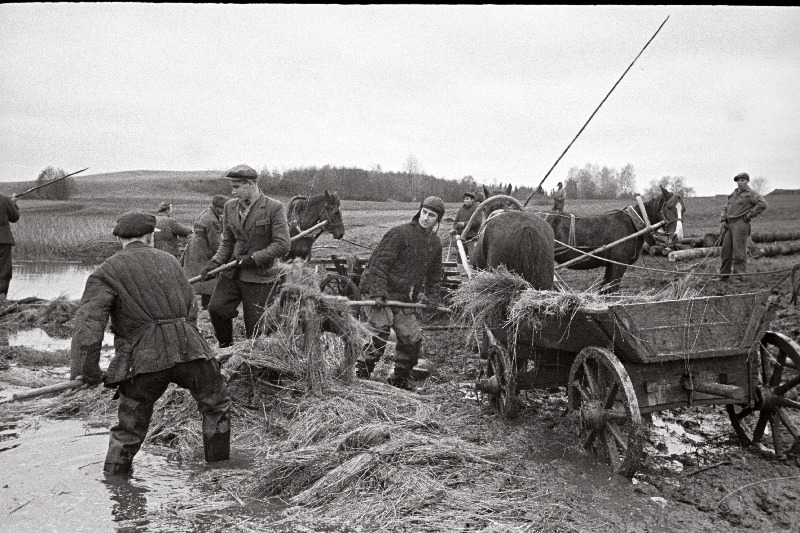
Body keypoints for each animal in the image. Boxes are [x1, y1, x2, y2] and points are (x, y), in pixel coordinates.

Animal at [548, 185, 684, 294]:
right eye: (669, 207)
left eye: (684, 209)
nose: (678, 236)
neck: (634, 222)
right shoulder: (618, 264)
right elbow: (612, 290)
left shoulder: (611, 265)